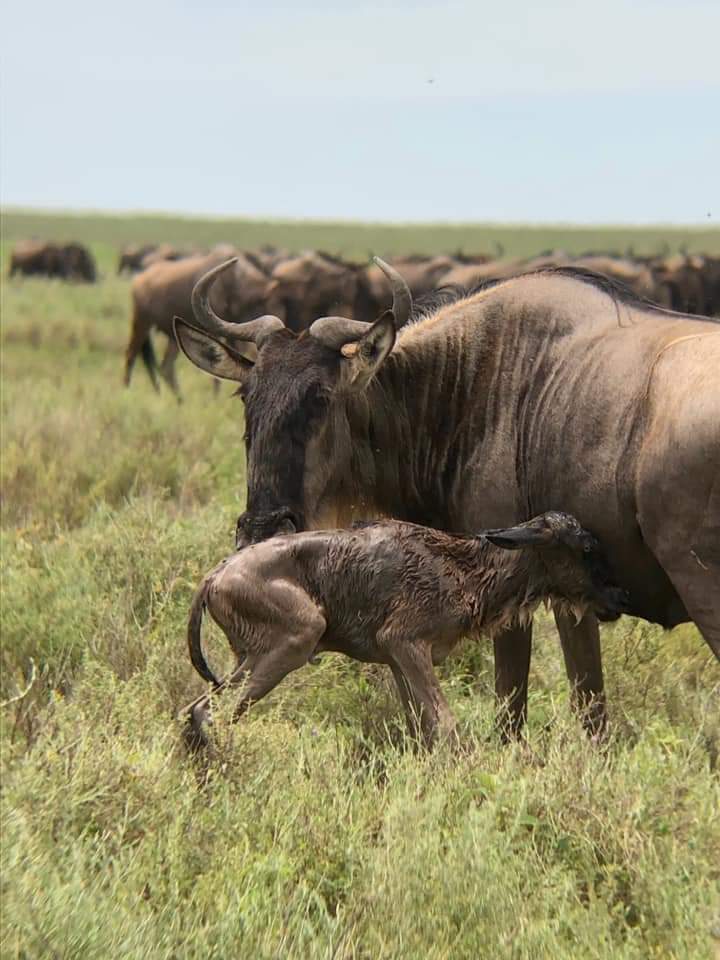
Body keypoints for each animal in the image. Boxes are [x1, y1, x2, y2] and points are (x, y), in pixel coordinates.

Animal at [183, 510, 628, 752]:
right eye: (587, 548)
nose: (620, 597)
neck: (465, 571)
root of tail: (213, 578)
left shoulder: (397, 659)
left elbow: (420, 729)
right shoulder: (404, 642)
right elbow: (445, 723)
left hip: (252, 656)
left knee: (197, 709)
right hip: (297, 637)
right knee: (212, 712)